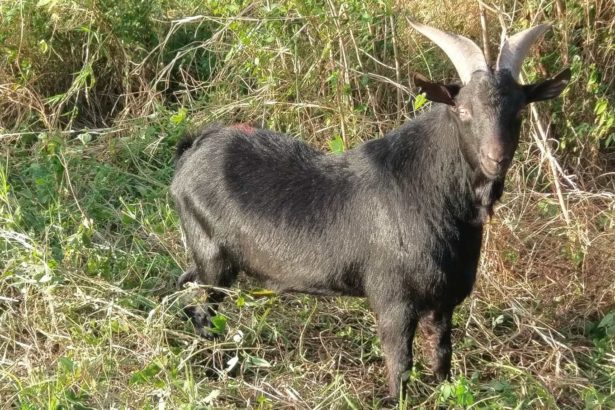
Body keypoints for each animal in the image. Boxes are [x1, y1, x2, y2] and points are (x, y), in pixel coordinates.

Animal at [171, 21, 572, 398]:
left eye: (520, 108)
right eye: (462, 110)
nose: (496, 158)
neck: (432, 196)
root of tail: (193, 147)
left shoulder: (444, 300)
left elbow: (442, 355)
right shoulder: (393, 300)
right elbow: (400, 365)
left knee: (187, 289)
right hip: (214, 258)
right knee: (204, 310)